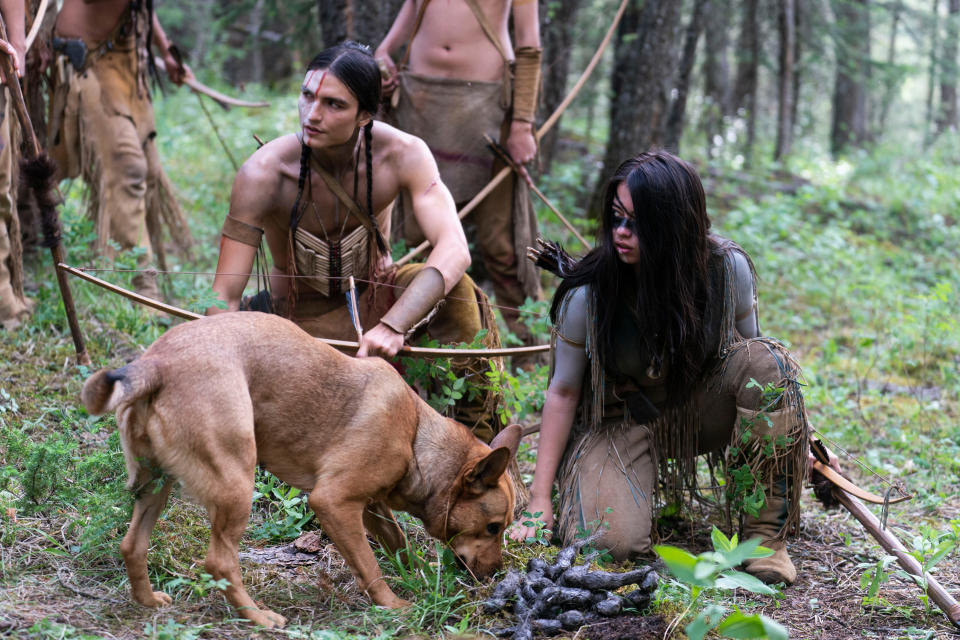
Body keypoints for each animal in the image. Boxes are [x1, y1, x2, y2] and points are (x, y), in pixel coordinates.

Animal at [80, 312, 516, 628]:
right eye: (493, 528)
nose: (497, 575)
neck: (416, 436)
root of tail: (155, 364)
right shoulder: (334, 502)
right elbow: (371, 567)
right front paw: (393, 605)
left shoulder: (371, 507)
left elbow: (399, 544)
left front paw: (423, 577)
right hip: (237, 485)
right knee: (220, 563)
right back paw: (257, 617)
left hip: (156, 486)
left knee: (132, 545)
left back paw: (148, 602)